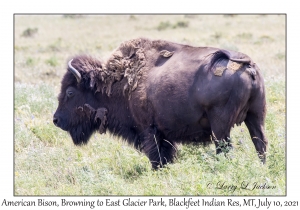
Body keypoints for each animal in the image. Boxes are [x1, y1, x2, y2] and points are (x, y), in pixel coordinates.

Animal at [53, 37, 268, 169]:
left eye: (70, 92)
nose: (56, 120)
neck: (117, 82)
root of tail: (247, 64)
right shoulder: (164, 134)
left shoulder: (149, 130)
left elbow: (157, 157)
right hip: (255, 117)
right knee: (260, 143)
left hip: (221, 127)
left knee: (226, 149)